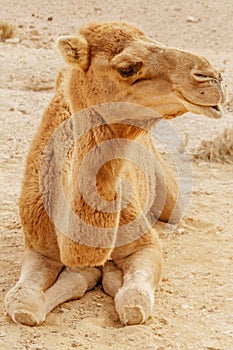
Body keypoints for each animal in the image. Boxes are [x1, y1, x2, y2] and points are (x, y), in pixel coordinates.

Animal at [4, 21, 226, 326]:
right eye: (127, 68)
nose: (211, 76)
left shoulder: (145, 246)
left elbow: (134, 303)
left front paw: (106, 274)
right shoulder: (38, 248)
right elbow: (22, 304)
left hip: (171, 196)